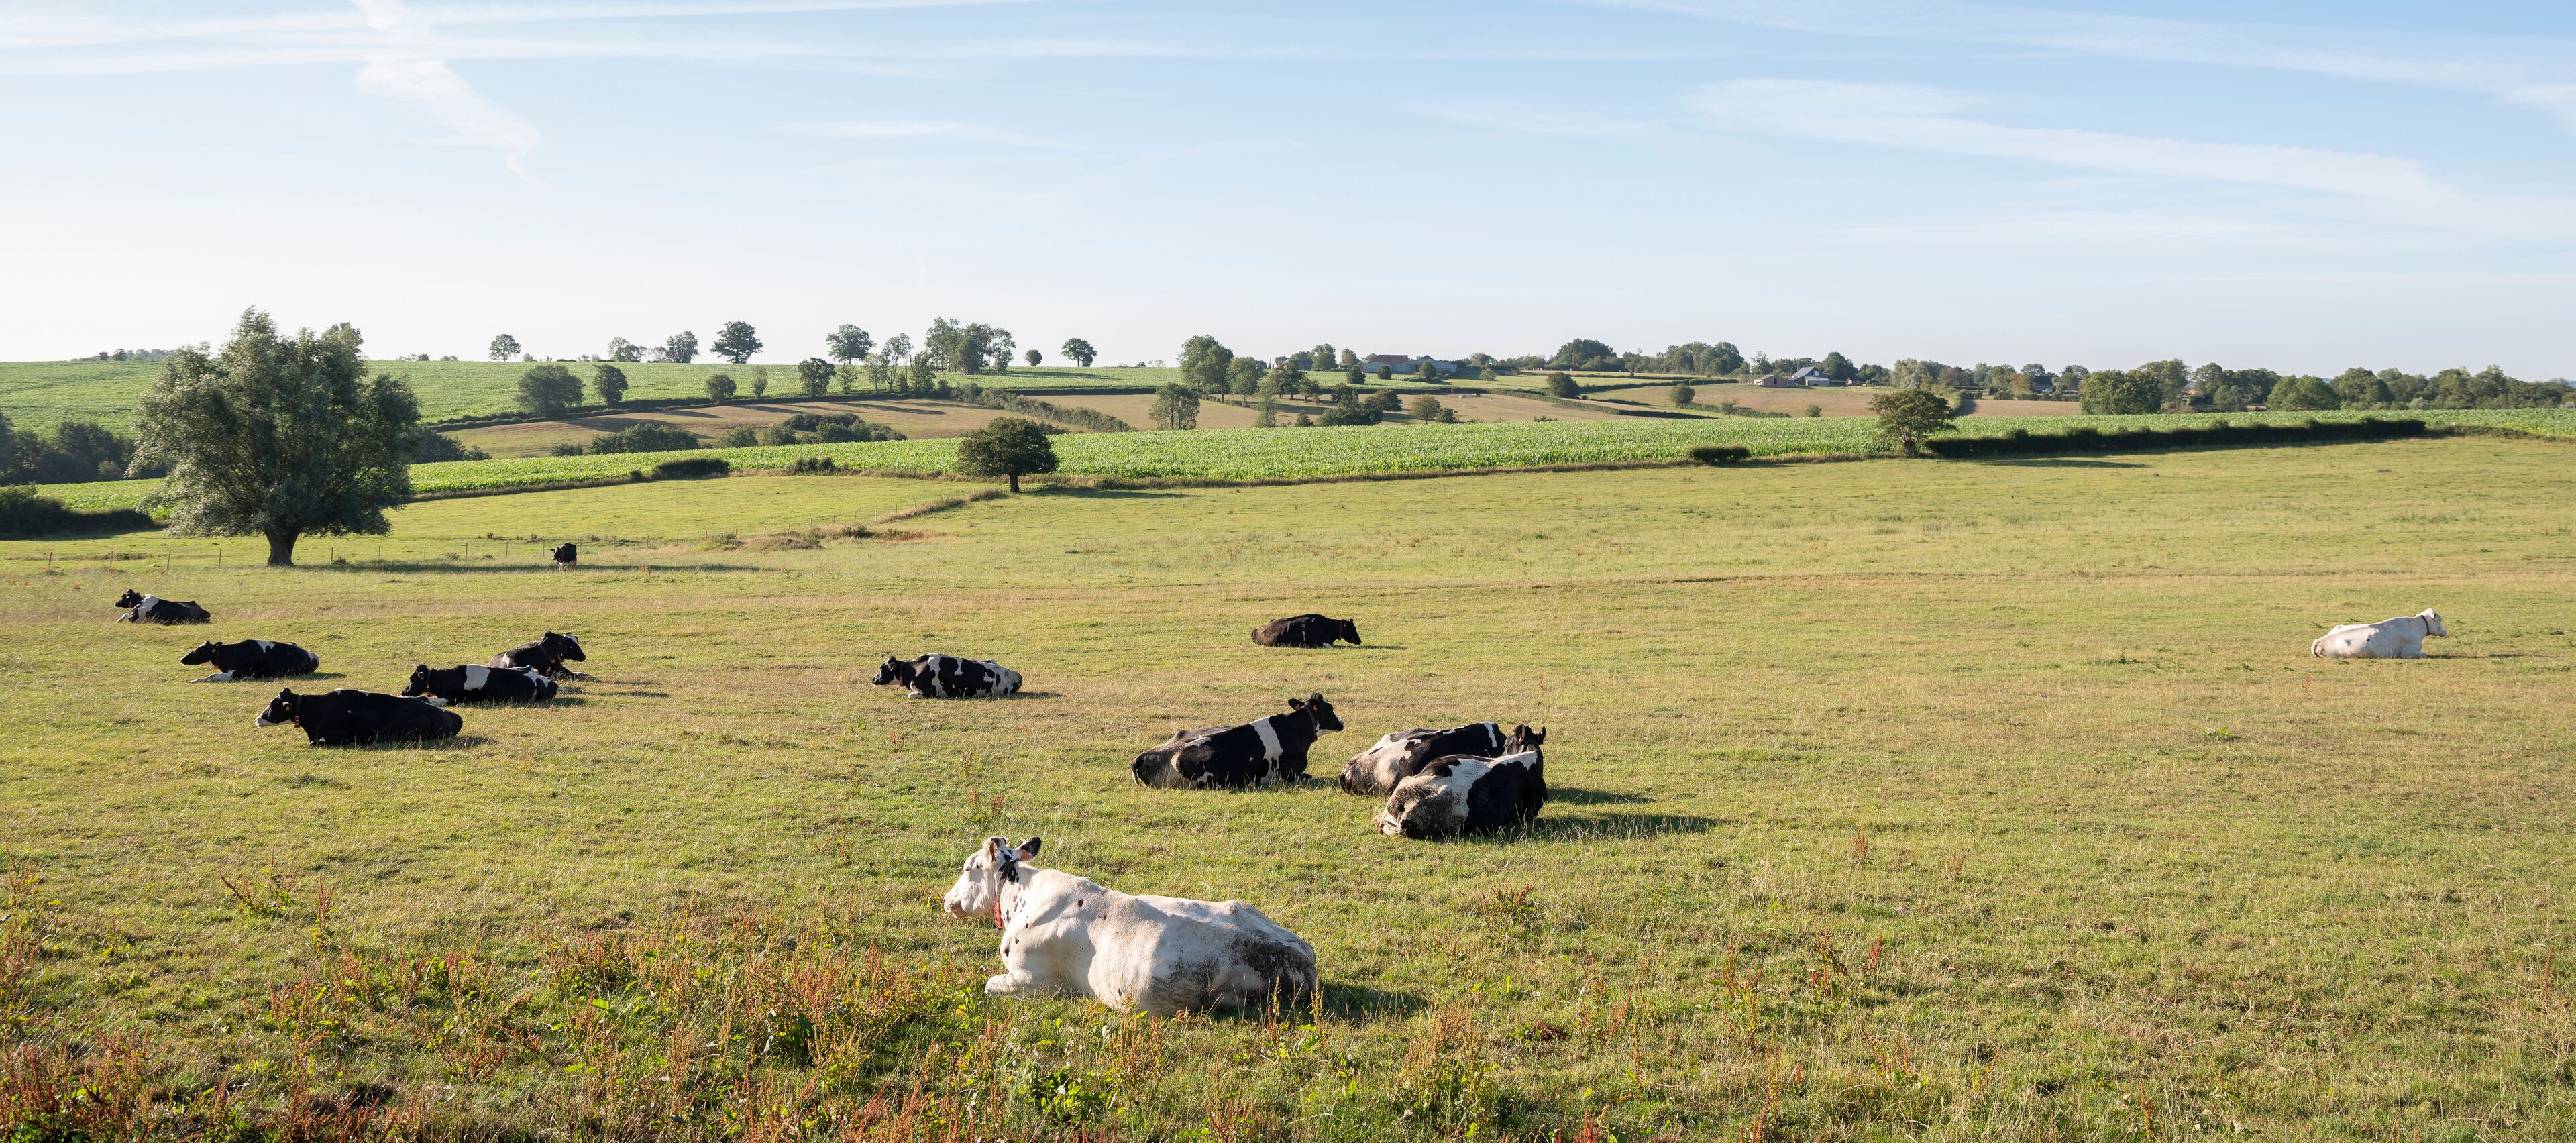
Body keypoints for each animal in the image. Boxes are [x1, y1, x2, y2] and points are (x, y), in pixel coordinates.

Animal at [115, 590, 210, 624]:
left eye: (123, 596)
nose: (116, 603)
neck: (140, 602)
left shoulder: (136, 620)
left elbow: (126, 614)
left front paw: (119, 620)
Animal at [180, 639, 319, 682]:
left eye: (197, 651)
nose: (182, 659)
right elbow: (211, 675)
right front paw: (196, 680)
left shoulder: (236, 672)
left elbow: (214, 676)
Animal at [942, 836, 1317, 1016]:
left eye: (967, 868)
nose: (946, 899)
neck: (1023, 897)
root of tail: (1305, 960)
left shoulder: (1036, 981)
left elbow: (989, 985)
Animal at [2313, 610, 2448, 659]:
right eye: (2440, 620)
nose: (2445, 632)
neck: (2414, 626)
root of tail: (2319, 641)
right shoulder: (2409, 653)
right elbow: (2424, 654)